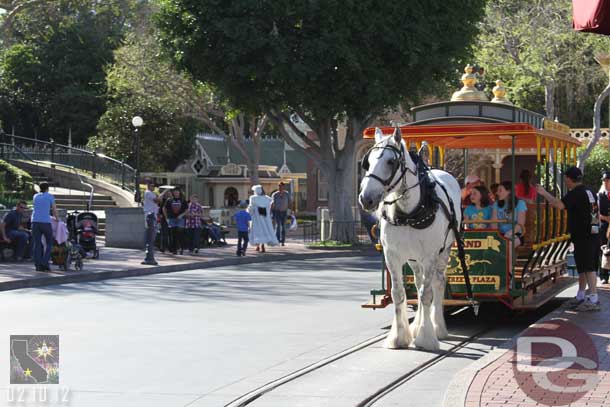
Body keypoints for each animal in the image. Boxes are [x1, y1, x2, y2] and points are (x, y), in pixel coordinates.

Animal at [356, 127, 460, 350]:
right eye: (367, 162)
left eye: (390, 162)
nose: (366, 199)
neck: (409, 213)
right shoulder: (392, 256)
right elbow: (399, 294)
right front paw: (399, 337)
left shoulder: (429, 256)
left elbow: (426, 294)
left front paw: (426, 338)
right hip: (413, 259)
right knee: (419, 282)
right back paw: (417, 326)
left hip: (443, 252)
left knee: (437, 284)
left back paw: (438, 328)